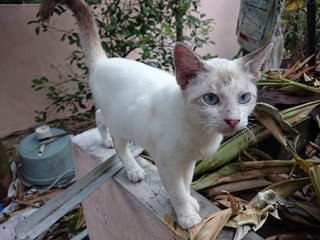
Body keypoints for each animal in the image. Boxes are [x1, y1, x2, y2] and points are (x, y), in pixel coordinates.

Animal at [38, 0, 272, 229]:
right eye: (211, 99)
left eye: (244, 98)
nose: (233, 120)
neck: (199, 130)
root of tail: (104, 61)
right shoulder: (167, 163)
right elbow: (177, 191)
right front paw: (187, 216)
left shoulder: (188, 162)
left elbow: (186, 183)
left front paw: (190, 201)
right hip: (120, 124)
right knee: (119, 145)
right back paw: (132, 168)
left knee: (98, 115)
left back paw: (105, 141)